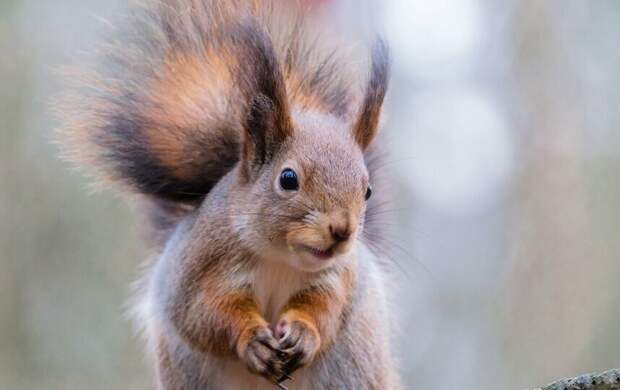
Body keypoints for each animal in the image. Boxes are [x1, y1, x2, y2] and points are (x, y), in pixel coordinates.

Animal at [58, 0, 400, 390]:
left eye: (367, 190)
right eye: (288, 178)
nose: (342, 231)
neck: (280, 260)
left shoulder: (338, 279)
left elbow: (327, 309)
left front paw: (303, 332)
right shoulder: (196, 271)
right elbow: (205, 315)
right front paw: (252, 340)